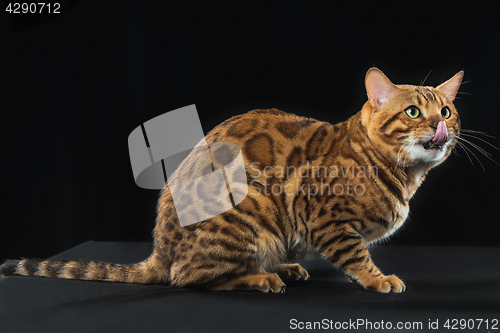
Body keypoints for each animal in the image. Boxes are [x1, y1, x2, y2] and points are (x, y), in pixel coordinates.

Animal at [0, 67, 462, 290]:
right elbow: (355, 256)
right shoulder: (323, 217)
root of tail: (158, 249)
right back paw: (261, 278)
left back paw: (284, 269)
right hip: (251, 214)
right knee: (187, 278)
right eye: (413, 112)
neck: (403, 175)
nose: (440, 126)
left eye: (446, 110)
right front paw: (378, 279)